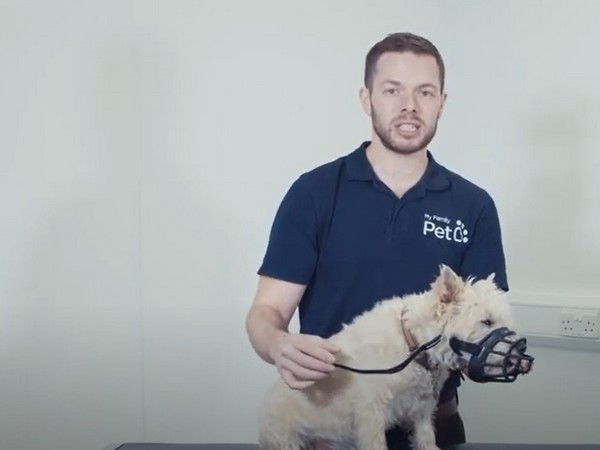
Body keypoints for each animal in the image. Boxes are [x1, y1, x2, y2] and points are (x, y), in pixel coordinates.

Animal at [256, 266, 528, 448]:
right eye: (486, 321)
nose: (522, 357)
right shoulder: (371, 415)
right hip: (285, 439)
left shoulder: (422, 408)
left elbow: (426, 438)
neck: (412, 344)